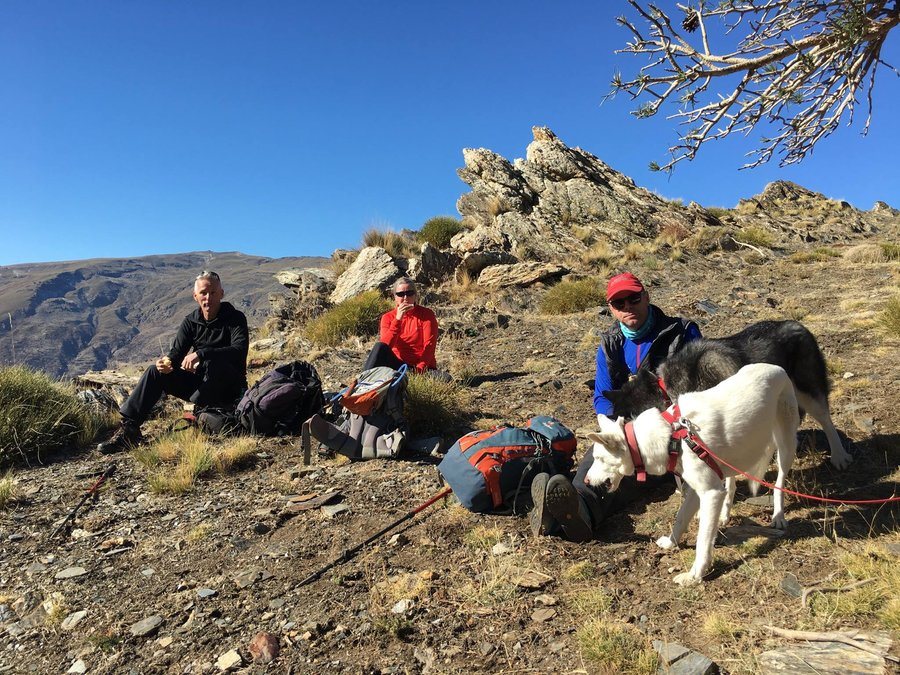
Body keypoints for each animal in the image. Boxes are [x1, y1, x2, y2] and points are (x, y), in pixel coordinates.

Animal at [588, 364, 800, 588]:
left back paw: (778, 516)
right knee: (731, 486)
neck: (673, 437)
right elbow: (680, 518)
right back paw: (724, 515)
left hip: (786, 447)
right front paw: (671, 543)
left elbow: (703, 541)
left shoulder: (710, 493)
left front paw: (695, 575)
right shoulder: (697, 491)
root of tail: (776, 368)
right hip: (732, 458)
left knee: (779, 482)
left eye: (599, 458)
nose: (586, 480)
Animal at [600, 320, 848, 470]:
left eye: (629, 422)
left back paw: (839, 456)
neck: (667, 390)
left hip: (808, 391)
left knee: (826, 420)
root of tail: (801, 326)